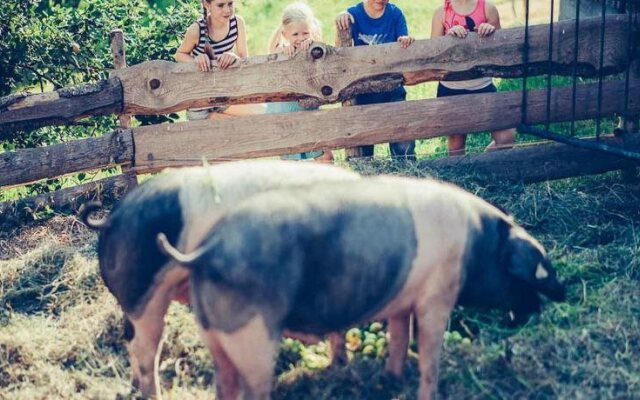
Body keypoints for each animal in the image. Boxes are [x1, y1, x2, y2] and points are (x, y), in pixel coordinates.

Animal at [80, 159, 360, 396]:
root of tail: (112, 218)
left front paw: (340, 365)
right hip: (142, 295)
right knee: (145, 347)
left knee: (129, 338)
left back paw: (134, 386)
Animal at [159, 175, 564, 400]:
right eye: (530, 273)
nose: (561, 294)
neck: (476, 244)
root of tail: (207, 250)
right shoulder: (436, 296)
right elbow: (430, 355)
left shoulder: (403, 302)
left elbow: (399, 338)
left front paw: (391, 381)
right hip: (252, 336)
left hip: (215, 336)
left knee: (224, 385)